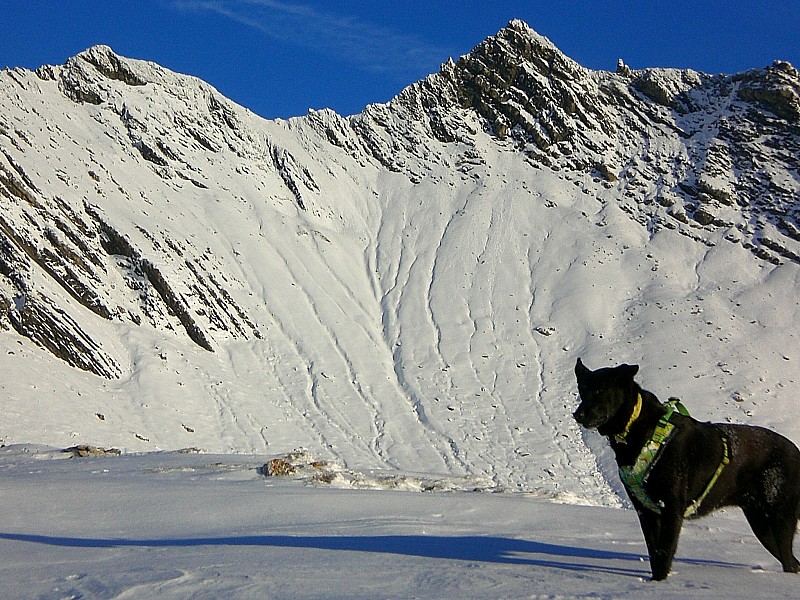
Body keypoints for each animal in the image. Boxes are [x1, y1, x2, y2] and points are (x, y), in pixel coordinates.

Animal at [576, 358, 800, 580]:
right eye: (583, 390)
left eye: (600, 390)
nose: (578, 415)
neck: (639, 430)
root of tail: (796, 451)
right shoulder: (645, 510)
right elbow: (654, 554)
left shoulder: (671, 508)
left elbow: (664, 554)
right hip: (762, 525)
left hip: (780, 519)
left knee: (789, 561)